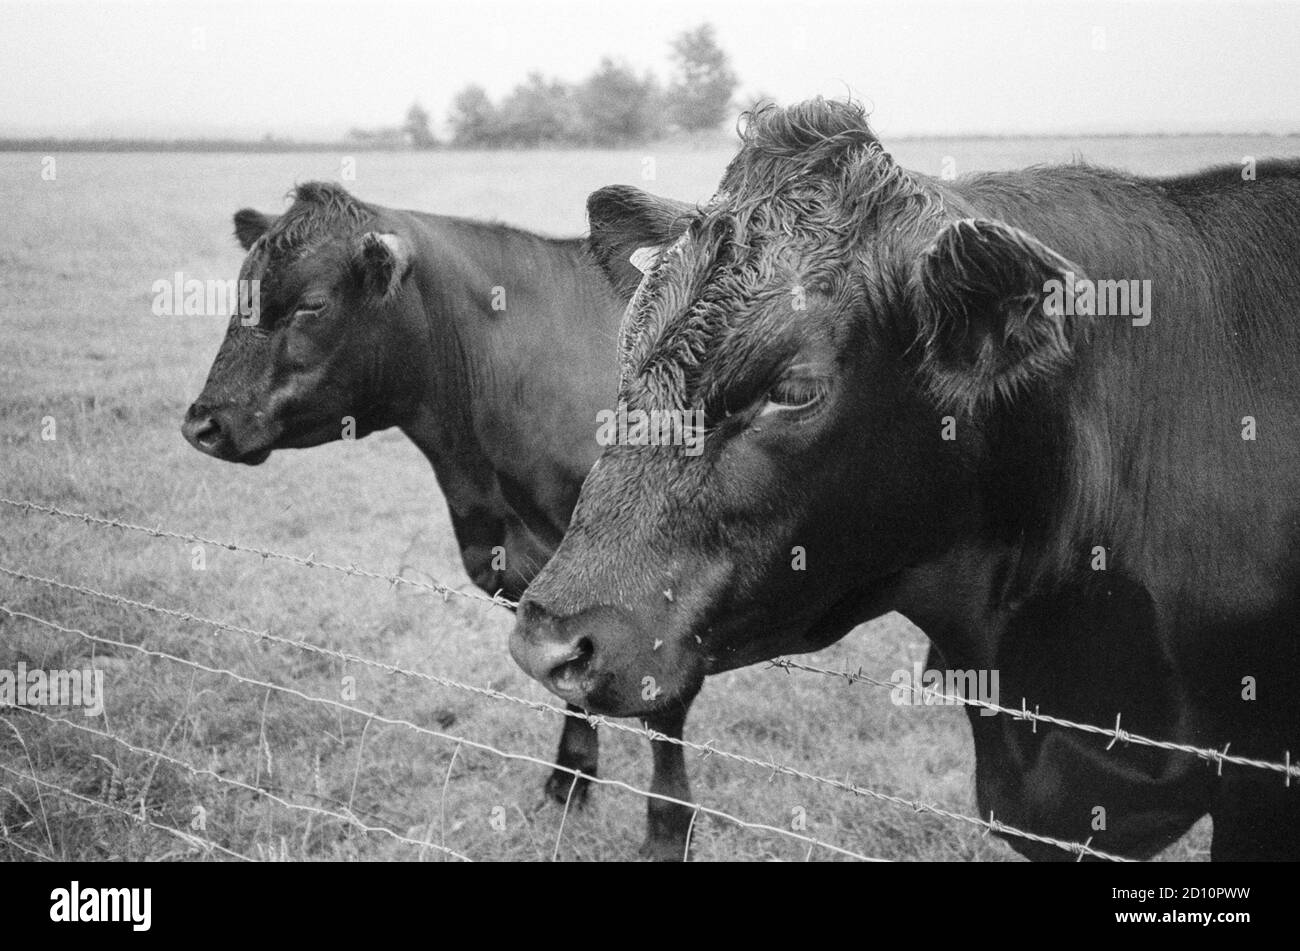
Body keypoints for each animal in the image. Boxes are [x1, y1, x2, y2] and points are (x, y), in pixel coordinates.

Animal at [182, 181, 702, 857]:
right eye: (241, 290)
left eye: (312, 304)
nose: (203, 424)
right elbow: (569, 678)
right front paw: (568, 783)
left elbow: (661, 707)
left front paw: (667, 830)